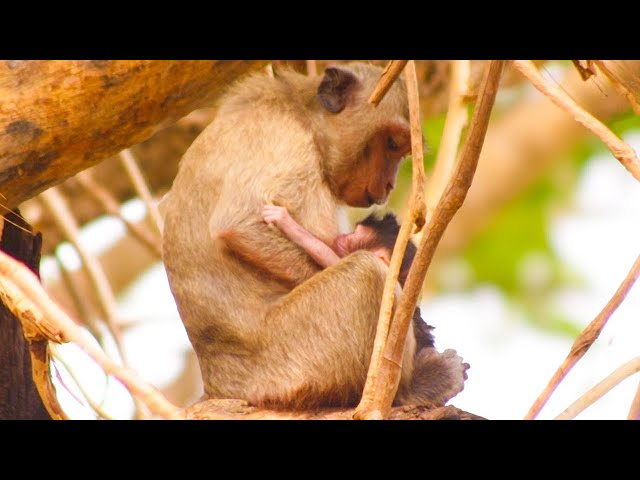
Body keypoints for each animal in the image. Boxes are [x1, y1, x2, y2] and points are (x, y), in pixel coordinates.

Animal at [162, 62, 468, 408]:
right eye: (391, 144)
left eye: (401, 150)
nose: (390, 184)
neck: (303, 116)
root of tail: (219, 383)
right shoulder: (285, 139)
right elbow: (240, 225)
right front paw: (417, 322)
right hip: (295, 362)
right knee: (368, 273)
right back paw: (409, 389)